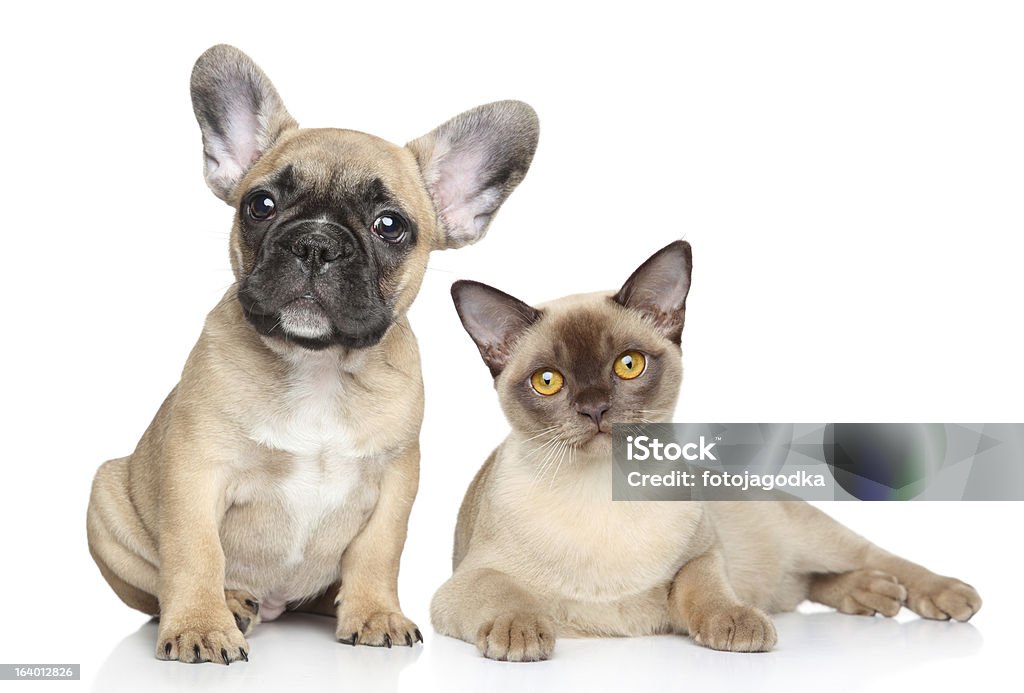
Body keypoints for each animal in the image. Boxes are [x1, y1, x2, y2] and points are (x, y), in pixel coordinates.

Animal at [88, 46, 540, 663]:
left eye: (389, 225)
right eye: (260, 205)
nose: (316, 243)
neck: (318, 366)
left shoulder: (396, 478)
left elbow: (378, 551)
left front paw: (374, 612)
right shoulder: (195, 470)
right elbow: (194, 552)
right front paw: (201, 624)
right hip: (107, 497)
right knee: (160, 583)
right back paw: (232, 603)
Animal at [428, 241, 978, 659]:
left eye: (628, 365)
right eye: (548, 381)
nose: (595, 409)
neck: (603, 493)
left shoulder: (703, 555)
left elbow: (705, 590)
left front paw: (736, 625)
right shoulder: (464, 584)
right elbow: (506, 596)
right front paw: (520, 634)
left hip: (812, 537)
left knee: (870, 559)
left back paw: (945, 594)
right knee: (811, 585)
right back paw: (874, 594)